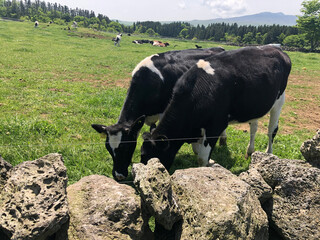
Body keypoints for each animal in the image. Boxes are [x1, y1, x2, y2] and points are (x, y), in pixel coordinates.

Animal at [141, 45, 292, 171]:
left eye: (153, 157)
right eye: (142, 155)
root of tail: (277, 49)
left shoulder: (216, 126)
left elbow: (202, 158)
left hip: (279, 101)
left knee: (272, 130)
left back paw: (269, 154)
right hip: (254, 106)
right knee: (253, 128)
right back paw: (249, 152)